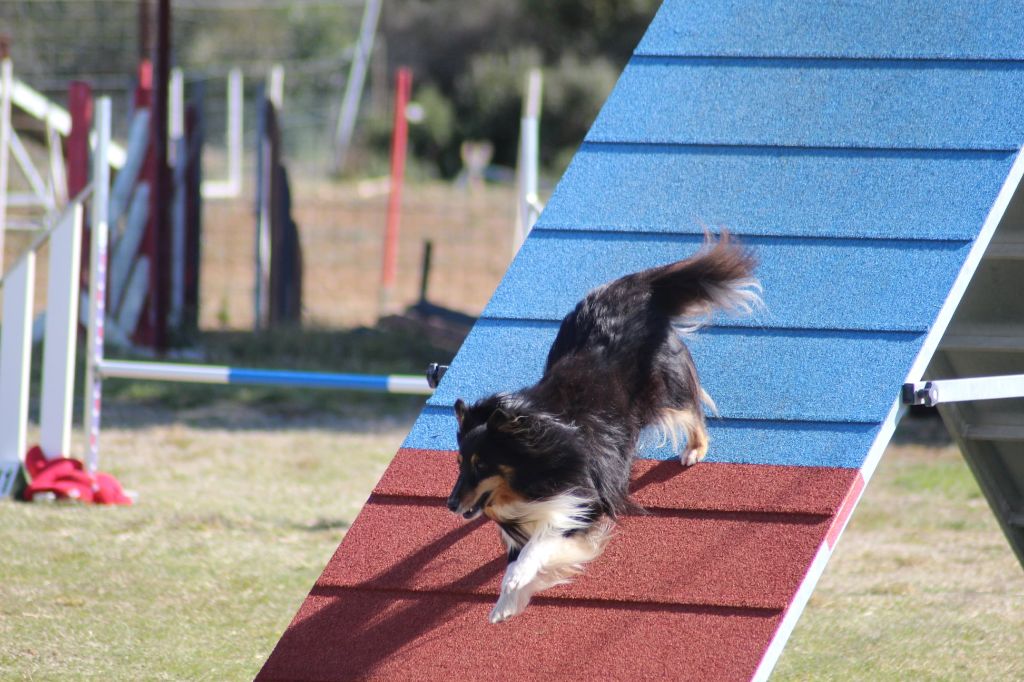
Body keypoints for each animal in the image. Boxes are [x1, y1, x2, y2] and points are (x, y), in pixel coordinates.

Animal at [448, 231, 761, 618]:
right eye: (460, 464)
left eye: (481, 465)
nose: (451, 504)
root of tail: (635, 290)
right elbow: (527, 549)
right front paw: (507, 603)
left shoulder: (586, 501)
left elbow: (542, 542)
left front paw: (516, 580)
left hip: (662, 388)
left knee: (691, 404)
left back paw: (695, 449)